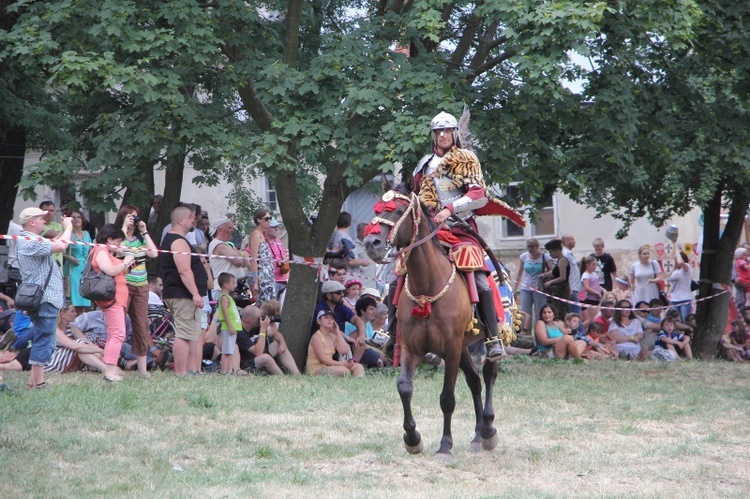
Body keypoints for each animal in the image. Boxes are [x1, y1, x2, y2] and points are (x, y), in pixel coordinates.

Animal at [364, 185, 500, 460]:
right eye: (377, 208)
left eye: (397, 210)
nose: (371, 244)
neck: (427, 285)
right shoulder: (411, 347)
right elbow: (404, 387)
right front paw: (412, 439)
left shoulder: (451, 349)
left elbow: (447, 398)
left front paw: (445, 446)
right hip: (464, 347)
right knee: (474, 382)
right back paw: (478, 435)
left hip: (492, 336)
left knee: (489, 374)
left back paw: (489, 431)